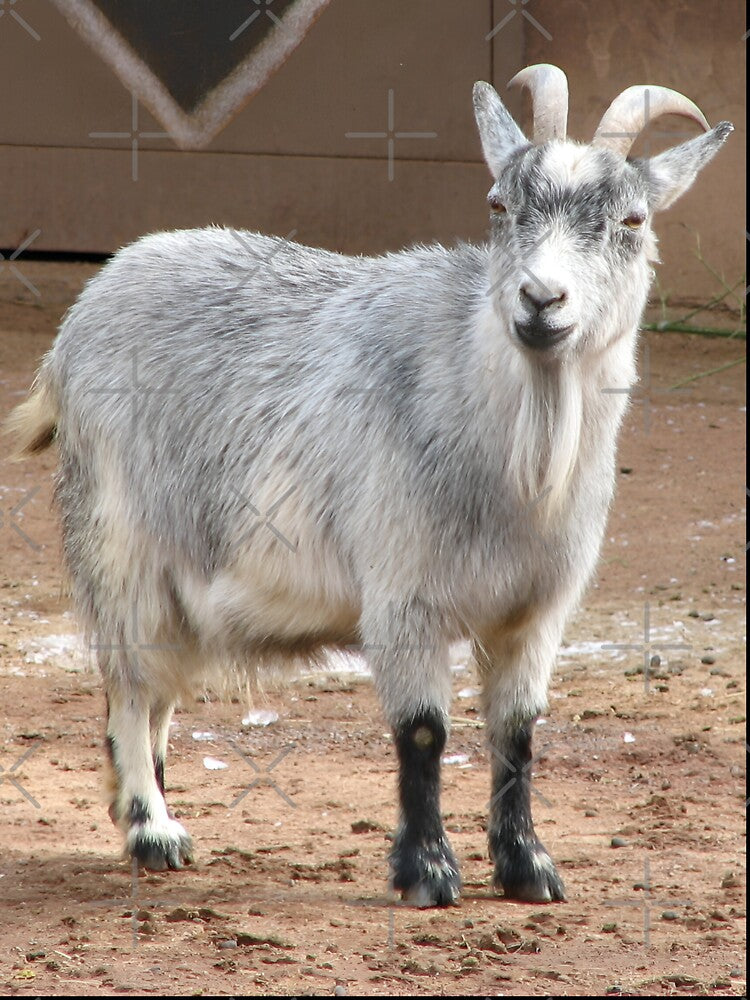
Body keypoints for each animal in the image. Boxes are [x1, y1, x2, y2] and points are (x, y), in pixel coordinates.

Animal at [5, 64, 731, 907]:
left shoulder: (537, 611)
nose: (540, 301)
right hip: (118, 541)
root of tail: (80, 317)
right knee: (127, 685)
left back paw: (152, 813)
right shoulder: (403, 594)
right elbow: (424, 732)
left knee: (157, 691)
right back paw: (152, 830)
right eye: (499, 206)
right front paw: (427, 874)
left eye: (632, 218)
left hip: (182, 578)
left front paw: (529, 869)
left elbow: (518, 734)